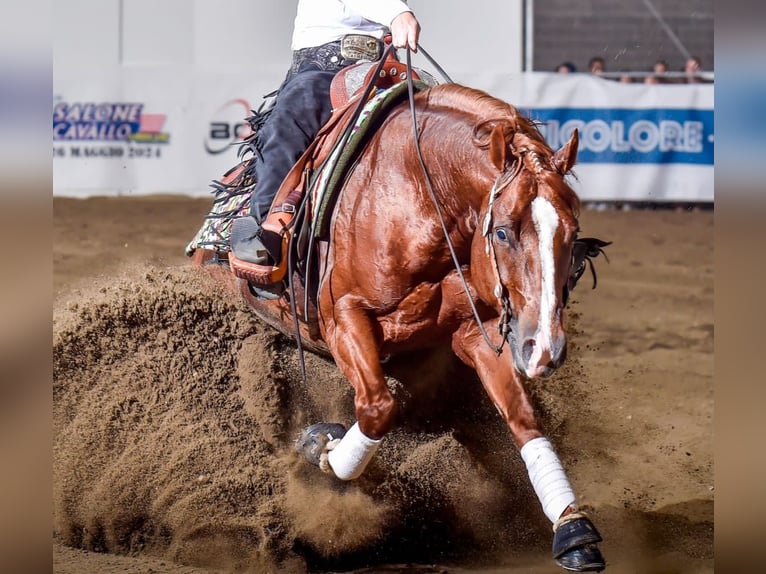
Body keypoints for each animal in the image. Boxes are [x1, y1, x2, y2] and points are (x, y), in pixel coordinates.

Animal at [191, 81, 609, 572]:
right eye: (503, 232)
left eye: (572, 234)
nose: (544, 348)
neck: (419, 201)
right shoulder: (344, 319)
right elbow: (377, 407)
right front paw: (321, 448)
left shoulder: (477, 333)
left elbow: (523, 418)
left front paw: (573, 528)